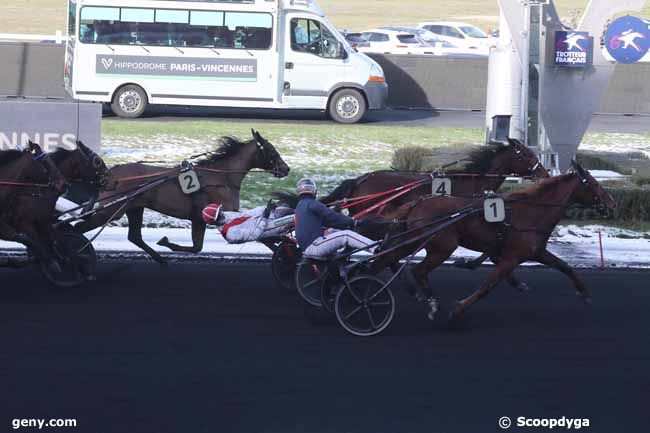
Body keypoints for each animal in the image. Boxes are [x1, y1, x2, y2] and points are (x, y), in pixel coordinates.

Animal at [74, 128, 288, 264]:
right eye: (271, 150)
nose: (286, 168)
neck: (221, 177)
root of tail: (110, 174)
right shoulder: (215, 216)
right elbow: (198, 247)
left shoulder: (202, 218)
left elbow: (197, 247)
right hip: (112, 210)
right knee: (80, 227)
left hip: (134, 207)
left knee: (134, 236)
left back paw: (160, 260)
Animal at [372, 163, 616, 324]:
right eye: (593, 183)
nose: (612, 204)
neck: (530, 212)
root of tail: (417, 203)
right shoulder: (512, 257)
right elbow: (488, 284)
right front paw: (458, 309)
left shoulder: (535, 252)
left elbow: (564, 266)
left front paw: (585, 294)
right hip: (442, 246)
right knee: (417, 270)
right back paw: (430, 302)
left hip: (410, 241)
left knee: (384, 260)